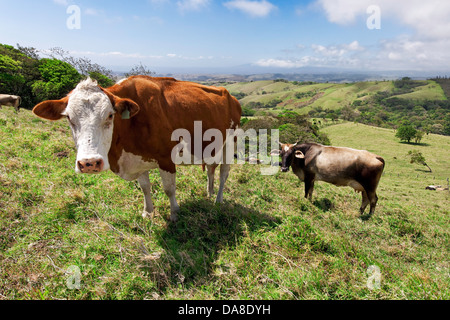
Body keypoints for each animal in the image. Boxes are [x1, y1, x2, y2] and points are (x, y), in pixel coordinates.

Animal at [32, 76, 243, 221]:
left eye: (110, 115)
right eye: (68, 117)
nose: (89, 163)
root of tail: (231, 96)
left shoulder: (166, 159)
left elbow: (169, 189)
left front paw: (174, 214)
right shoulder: (138, 159)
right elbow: (145, 187)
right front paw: (147, 212)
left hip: (229, 142)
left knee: (223, 173)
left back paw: (218, 200)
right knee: (210, 169)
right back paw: (209, 193)